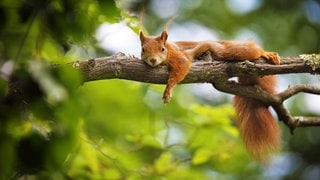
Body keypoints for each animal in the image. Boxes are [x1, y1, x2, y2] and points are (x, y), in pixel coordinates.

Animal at [139, 23, 282, 160]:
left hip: (231, 51)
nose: (153, 60)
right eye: (143, 49)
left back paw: (267, 53)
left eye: (162, 49)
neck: (170, 49)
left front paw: (169, 89)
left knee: (252, 51)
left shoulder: (180, 56)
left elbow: (180, 68)